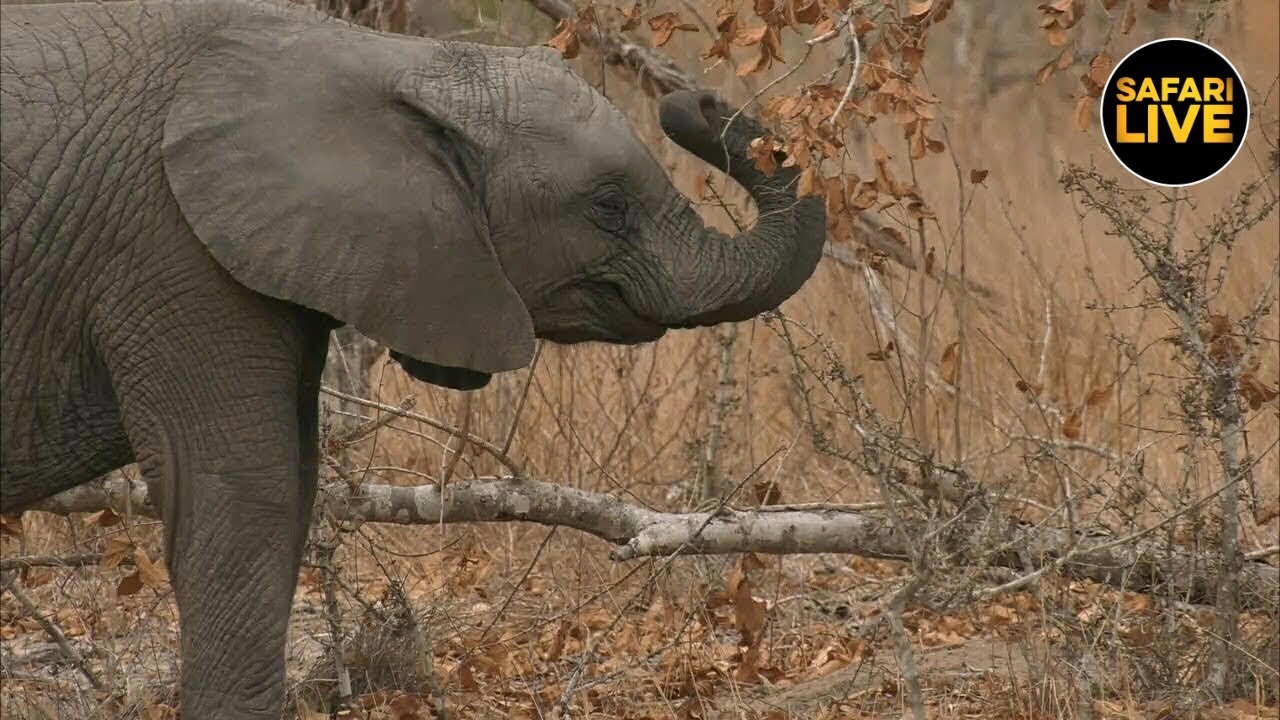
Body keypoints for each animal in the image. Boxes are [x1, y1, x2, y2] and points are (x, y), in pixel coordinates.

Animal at [0, 1, 819, 712]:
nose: (693, 102)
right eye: (609, 207)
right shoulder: (172, 249)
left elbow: (294, 485)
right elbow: (246, 490)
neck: (386, 62)